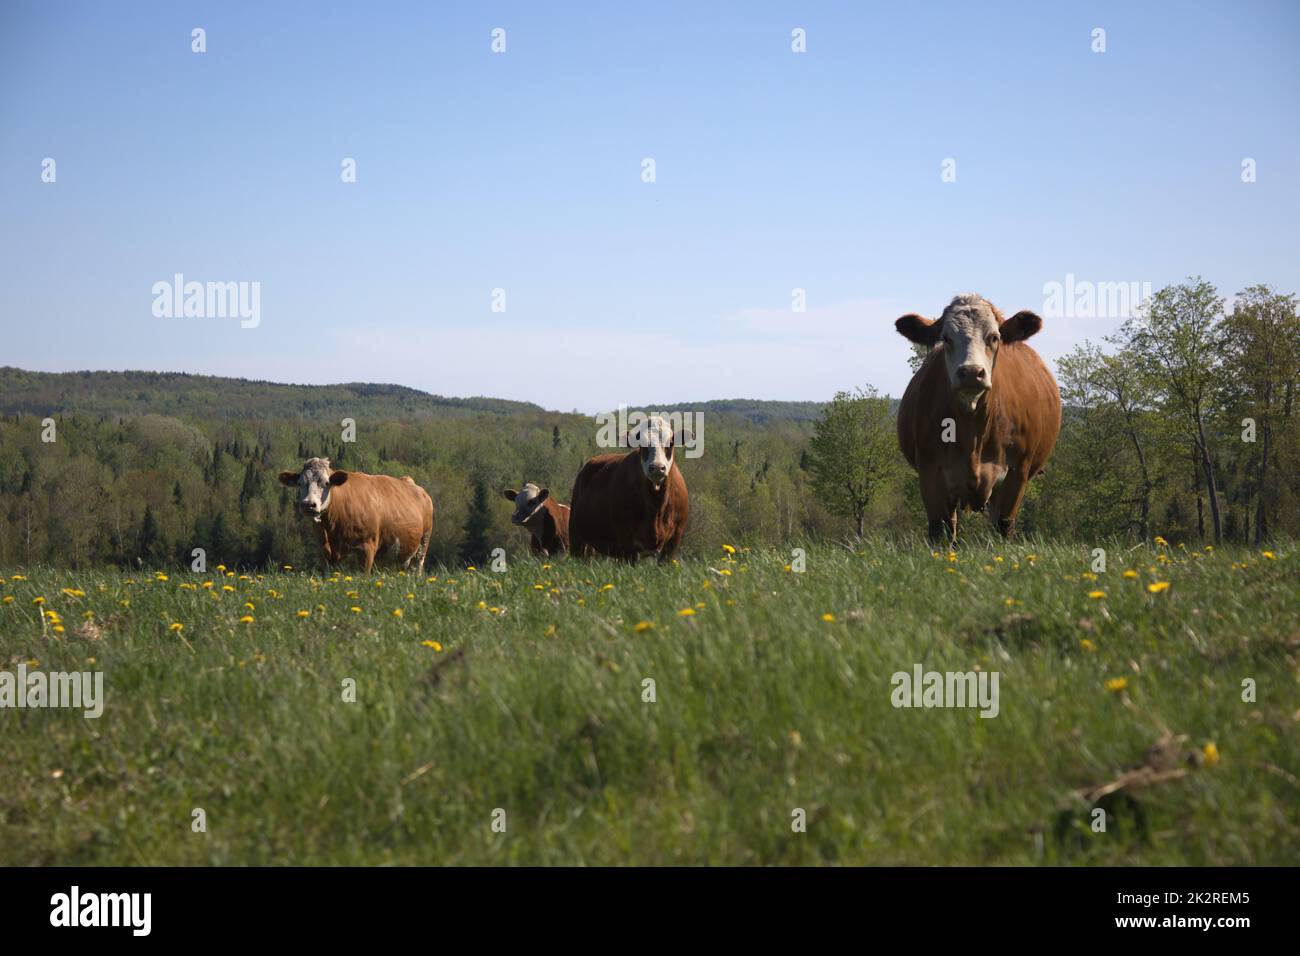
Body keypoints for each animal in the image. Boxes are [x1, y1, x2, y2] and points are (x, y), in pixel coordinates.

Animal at [278, 457, 434, 573]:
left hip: (422, 546)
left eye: (326, 483)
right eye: (299, 483)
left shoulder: (367, 548)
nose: (308, 504)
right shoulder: (323, 552)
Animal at [568, 415, 689, 562]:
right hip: (576, 537)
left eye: (670, 443)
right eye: (642, 444)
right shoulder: (626, 541)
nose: (657, 468)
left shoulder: (674, 539)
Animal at [894, 293, 1061, 544]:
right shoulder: (930, 473)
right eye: (946, 338)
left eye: (994, 337)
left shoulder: (1017, 473)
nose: (972, 372)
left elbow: (1004, 526)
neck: (972, 431)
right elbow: (939, 530)